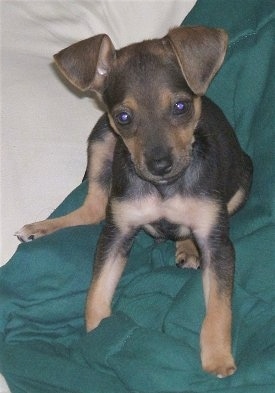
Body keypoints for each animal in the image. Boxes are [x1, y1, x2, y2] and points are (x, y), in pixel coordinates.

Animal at [16, 26, 254, 376]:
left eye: (181, 107)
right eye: (124, 117)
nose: (159, 165)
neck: (164, 188)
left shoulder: (219, 244)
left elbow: (219, 310)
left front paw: (218, 359)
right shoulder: (117, 233)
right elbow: (96, 293)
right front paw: (96, 334)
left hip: (242, 181)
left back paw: (187, 247)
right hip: (101, 140)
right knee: (93, 209)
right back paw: (41, 226)